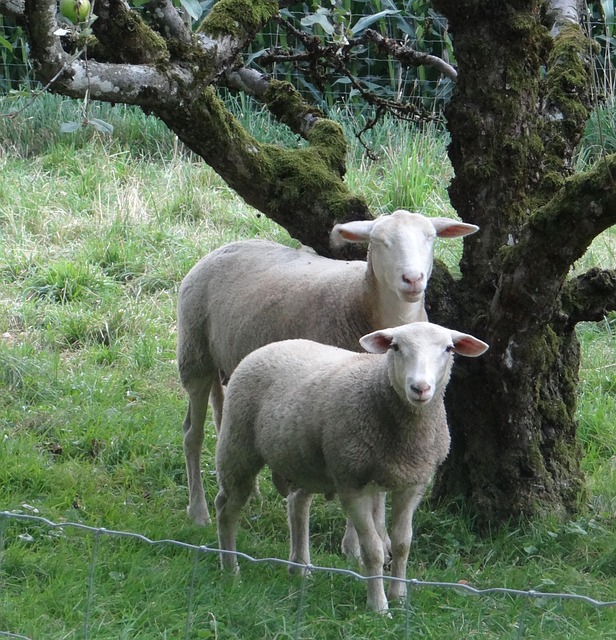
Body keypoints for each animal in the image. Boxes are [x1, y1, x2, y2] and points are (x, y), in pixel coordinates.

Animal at [176, 208, 478, 536]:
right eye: (379, 241)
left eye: (430, 237)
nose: (412, 279)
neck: (364, 303)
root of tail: (225, 247)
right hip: (194, 354)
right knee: (192, 435)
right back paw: (197, 511)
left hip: (229, 364)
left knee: (224, 425)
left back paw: (251, 492)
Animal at [214, 322, 488, 612]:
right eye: (395, 347)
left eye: (448, 349)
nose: (420, 388)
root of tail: (272, 346)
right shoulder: (352, 484)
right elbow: (373, 550)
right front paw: (378, 606)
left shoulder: (412, 483)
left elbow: (402, 544)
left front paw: (400, 597)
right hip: (238, 445)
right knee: (226, 508)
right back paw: (231, 569)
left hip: (306, 461)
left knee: (297, 504)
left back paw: (300, 568)